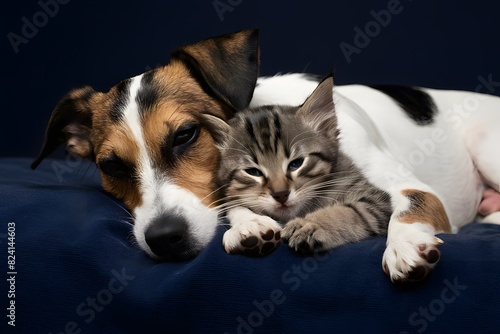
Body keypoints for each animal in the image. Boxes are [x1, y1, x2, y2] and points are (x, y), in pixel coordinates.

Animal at [205, 77, 392, 256]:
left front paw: (310, 224)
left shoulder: (376, 199)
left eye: (296, 164)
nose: (281, 195)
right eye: (253, 172)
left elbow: (349, 211)